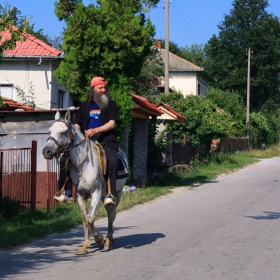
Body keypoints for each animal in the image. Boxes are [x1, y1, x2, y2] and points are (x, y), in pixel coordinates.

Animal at [42, 110, 128, 255]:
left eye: (63, 132)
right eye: (49, 131)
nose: (46, 151)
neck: (83, 166)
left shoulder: (96, 193)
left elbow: (90, 218)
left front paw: (99, 239)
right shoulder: (81, 196)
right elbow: (85, 219)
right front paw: (85, 246)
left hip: (117, 192)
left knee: (111, 214)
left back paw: (108, 241)